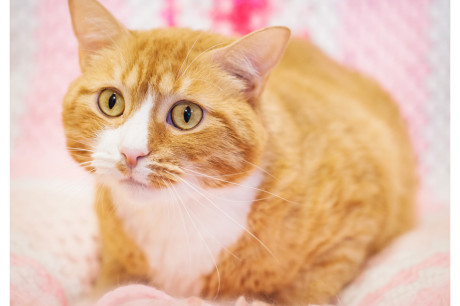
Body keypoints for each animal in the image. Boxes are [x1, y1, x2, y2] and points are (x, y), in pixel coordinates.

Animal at [63, 0, 418, 302]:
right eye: (111, 101)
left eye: (186, 115)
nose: (131, 153)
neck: (179, 213)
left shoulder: (357, 218)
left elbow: (306, 288)